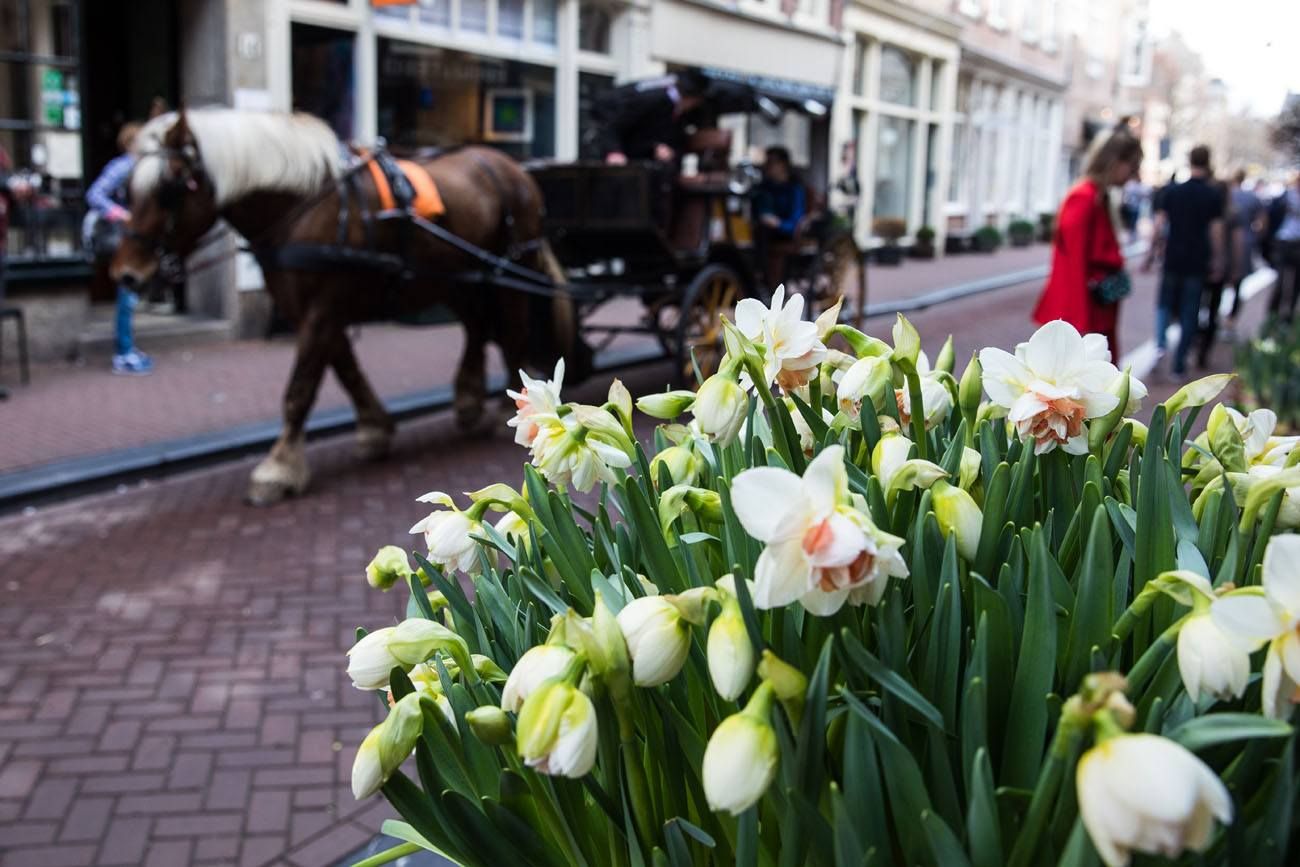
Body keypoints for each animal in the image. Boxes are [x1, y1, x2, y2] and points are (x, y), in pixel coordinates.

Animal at [114, 108, 572, 504]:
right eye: (126, 190)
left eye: (169, 191)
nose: (126, 275)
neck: (306, 204)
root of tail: (514, 167)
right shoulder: (310, 308)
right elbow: (344, 369)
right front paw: (374, 429)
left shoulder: (324, 306)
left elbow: (301, 387)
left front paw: (277, 469)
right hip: (462, 280)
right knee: (476, 330)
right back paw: (470, 405)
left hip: (509, 274)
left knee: (510, 335)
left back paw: (513, 413)